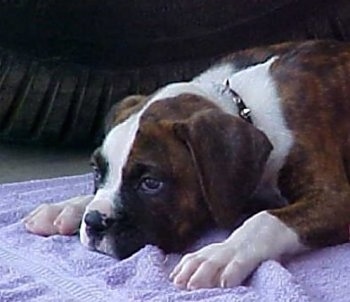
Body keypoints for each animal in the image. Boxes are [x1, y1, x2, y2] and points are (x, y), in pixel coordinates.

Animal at [23, 40, 350, 290]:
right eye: (97, 171)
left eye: (151, 183)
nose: (93, 223)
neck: (246, 110)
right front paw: (67, 207)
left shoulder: (337, 200)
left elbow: (264, 220)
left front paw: (219, 254)